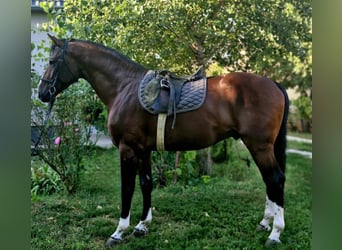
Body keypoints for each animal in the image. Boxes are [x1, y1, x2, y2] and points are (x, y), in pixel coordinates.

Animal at [36, 34, 288, 247]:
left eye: (52, 61)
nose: (42, 93)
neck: (124, 87)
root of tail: (273, 83)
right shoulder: (143, 150)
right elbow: (146, 183)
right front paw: (142, 226)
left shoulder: (127, 149)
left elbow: (127, 188)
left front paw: (119, 232)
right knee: (269, 181)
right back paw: (265, 223)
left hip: (259, 146)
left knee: (275, 179)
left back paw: (275, 233)